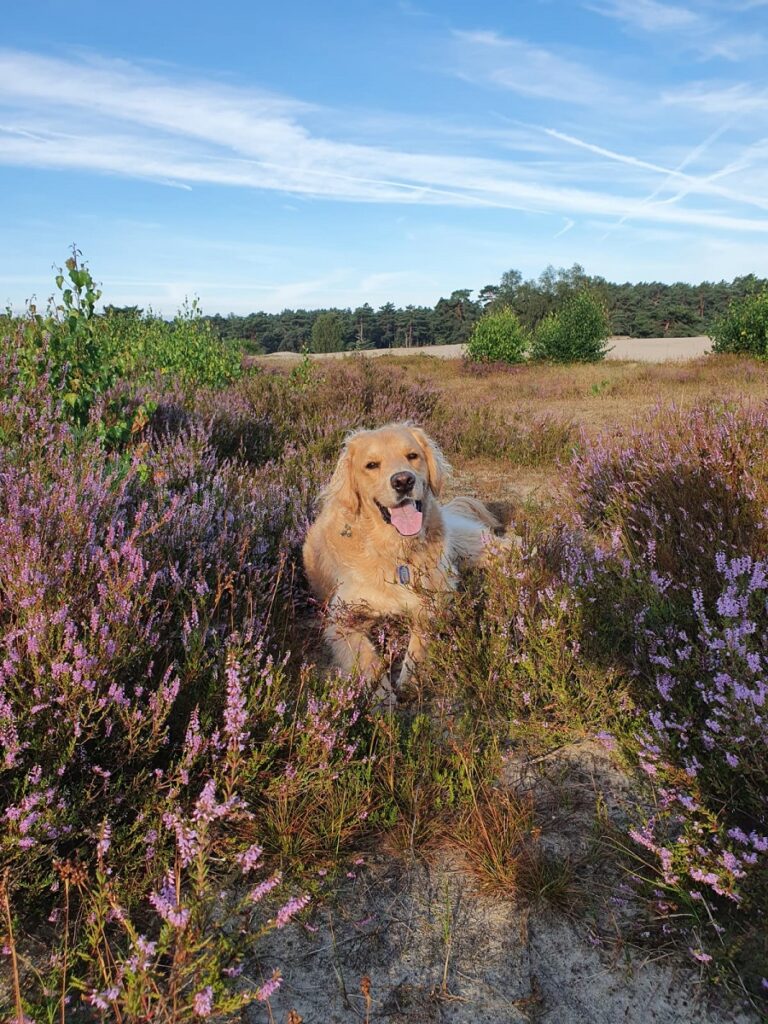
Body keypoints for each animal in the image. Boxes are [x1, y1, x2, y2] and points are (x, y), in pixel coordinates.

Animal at [305, 419, 512, 700]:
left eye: (412, 456)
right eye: (371, 465)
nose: (403, 481)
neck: (395, 550)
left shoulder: (433, 601)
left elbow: (420, 641)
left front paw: (410, 678)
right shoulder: (341, 617)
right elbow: (367, 657)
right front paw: (382, 694)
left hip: (469, 548)